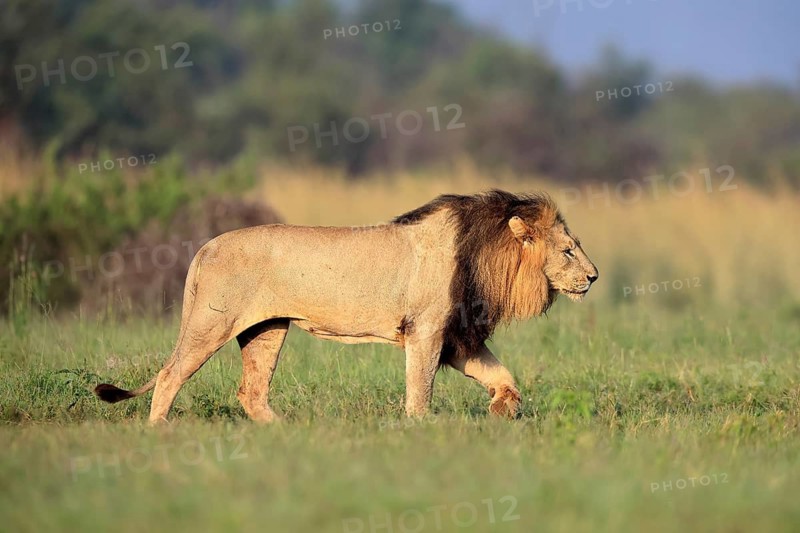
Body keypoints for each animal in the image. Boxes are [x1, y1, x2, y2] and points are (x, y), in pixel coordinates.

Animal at [95, 190, 598, 424]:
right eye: (569, 251)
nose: (594, 277)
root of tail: (204, 247)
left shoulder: (455, 336)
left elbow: (504, 377)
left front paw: (502, 410)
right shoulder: (426, 330)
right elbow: (420, 389)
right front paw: (422, 427)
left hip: (267, 329)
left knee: (251, 392)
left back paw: (287, 432)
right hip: (211, 324)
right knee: (169, 374)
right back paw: (160, 430)